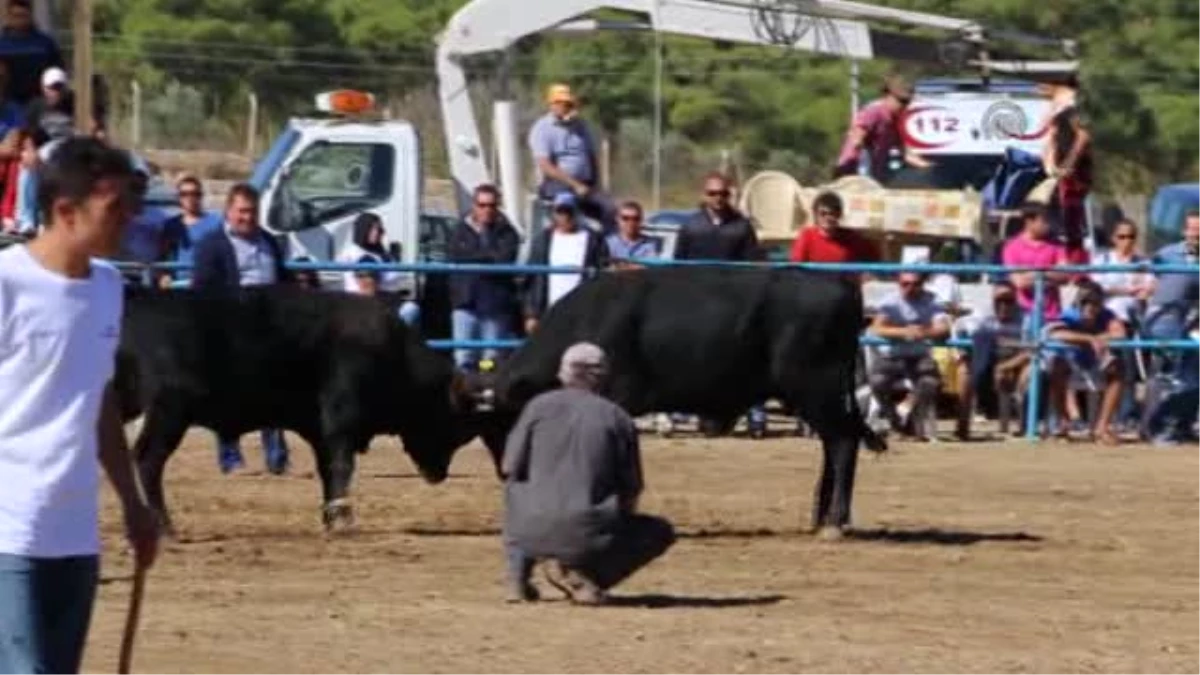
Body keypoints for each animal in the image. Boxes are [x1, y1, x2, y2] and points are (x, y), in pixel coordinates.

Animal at [114, 283, 482, 530]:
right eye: (453, 423)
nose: (438, 474)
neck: (395, 353)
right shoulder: (340, 423)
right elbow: (341, 466)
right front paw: (343, 521)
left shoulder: (319, 431)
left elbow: (328, 471)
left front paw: (331, 517)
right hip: (168, 412)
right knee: (148, 460)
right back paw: (163, 526)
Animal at [472, 265, 888, 533]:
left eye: (503, 422)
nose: (507, 471)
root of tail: (840, 284)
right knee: (835, 443)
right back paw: (820, 517)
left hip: (817, 390)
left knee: (842, 442)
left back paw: (834, 521)